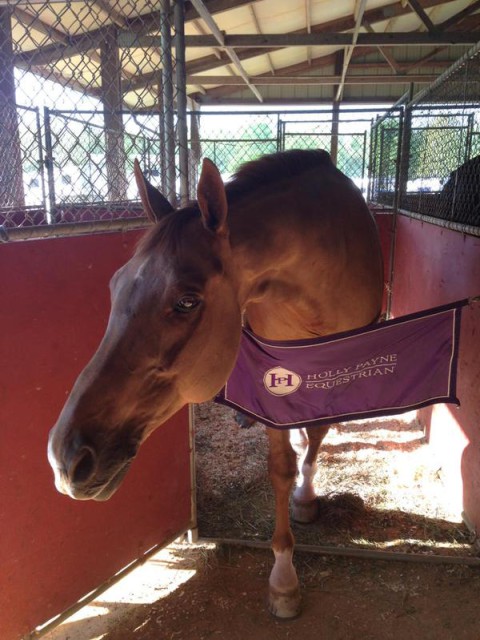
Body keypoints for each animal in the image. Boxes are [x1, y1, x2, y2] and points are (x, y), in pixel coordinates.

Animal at [48, 150, 384, 620]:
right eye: (115, 286)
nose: (66, 459)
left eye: (187, 301)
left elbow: (318, 434)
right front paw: (284, 579)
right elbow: (280, 468)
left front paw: (305, 497)